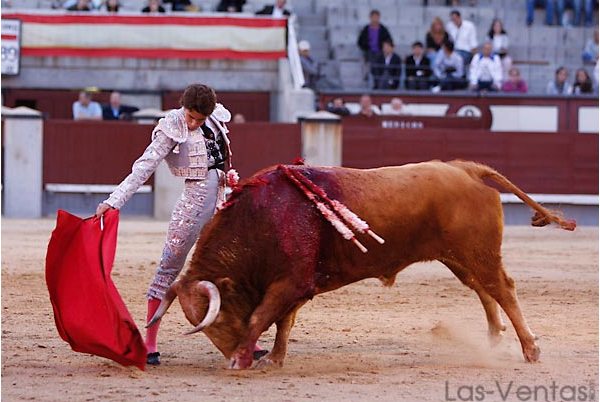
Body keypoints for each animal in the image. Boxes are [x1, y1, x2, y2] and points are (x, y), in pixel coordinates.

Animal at [148, 160, 576, 368]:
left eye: (217, 318)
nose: (236, 354)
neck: (263, 216)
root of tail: (465, 168)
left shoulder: (290, 282)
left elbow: (263, 317)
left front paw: (243, 359)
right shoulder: (299, 284)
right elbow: (284, 322)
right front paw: (274, 357)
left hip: (477, 251)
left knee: (503, 288)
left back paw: (530, 350)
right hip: (459, 256)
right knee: (485, 290)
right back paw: (492, 339)